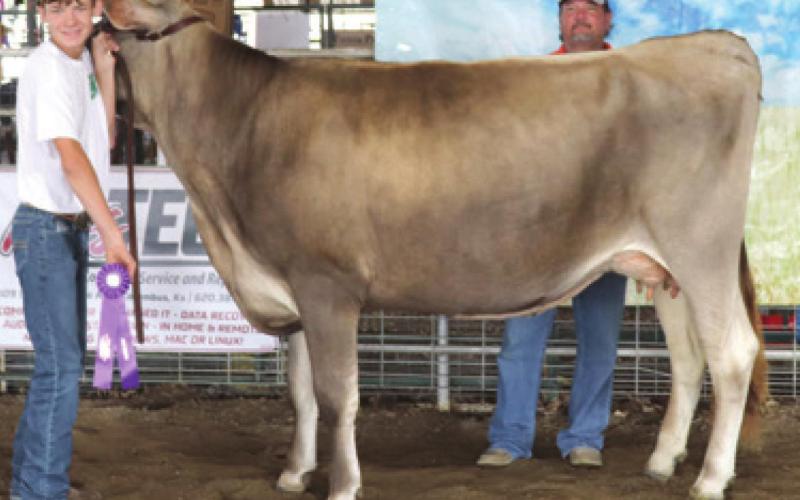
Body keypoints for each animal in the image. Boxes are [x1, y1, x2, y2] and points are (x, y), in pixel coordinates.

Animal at [101, 0, 766, 498]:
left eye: (117, 34)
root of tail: (716, 45)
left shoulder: (326, 284)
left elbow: (337, 395)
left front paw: (342, 484)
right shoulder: (293, 285)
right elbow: (301, 391)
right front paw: (293, 473)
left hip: (699, 248)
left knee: (732, 352)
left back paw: (710, 479)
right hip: (662, 268)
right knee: (689, 356)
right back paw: (662, 461)